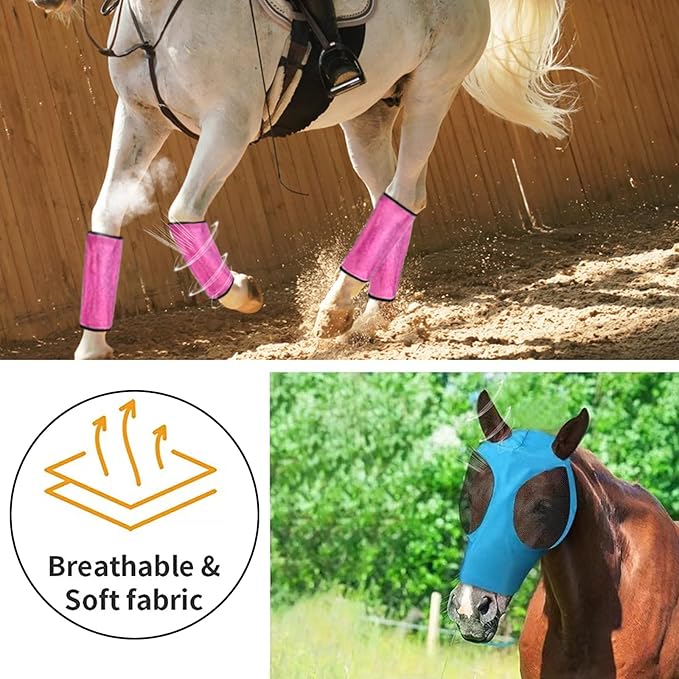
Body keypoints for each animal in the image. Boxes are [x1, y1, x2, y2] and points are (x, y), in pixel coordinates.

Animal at [31, 0, 581, 359]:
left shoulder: (229, 125)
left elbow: (182, 212)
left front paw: (242, 293)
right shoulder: (141, 118)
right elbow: (106, 213)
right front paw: (92, 349)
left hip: (434, 86)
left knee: (403, 193)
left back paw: (344, 314)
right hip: (368, 114)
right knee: (394, 197)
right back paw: (364, 317)